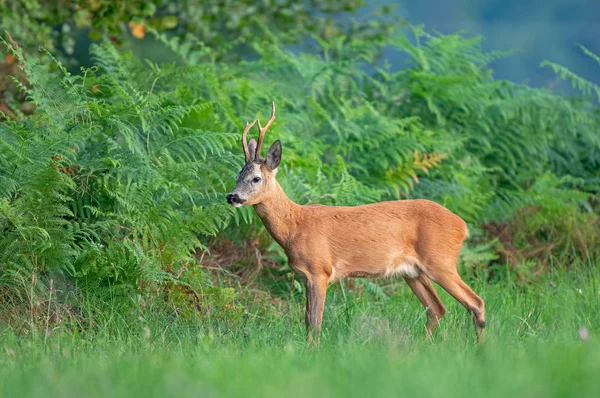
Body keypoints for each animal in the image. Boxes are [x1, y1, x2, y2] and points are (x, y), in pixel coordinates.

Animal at [227, 102, 486, 342]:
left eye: (256, 178)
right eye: (238, 175)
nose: (232, 196)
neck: (294, 227)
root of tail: (462, 226)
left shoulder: (319, 270)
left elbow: (315, 323)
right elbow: (308, 322)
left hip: (440, 260)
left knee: (476, 302)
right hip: (412, 272)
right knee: (437, 309)